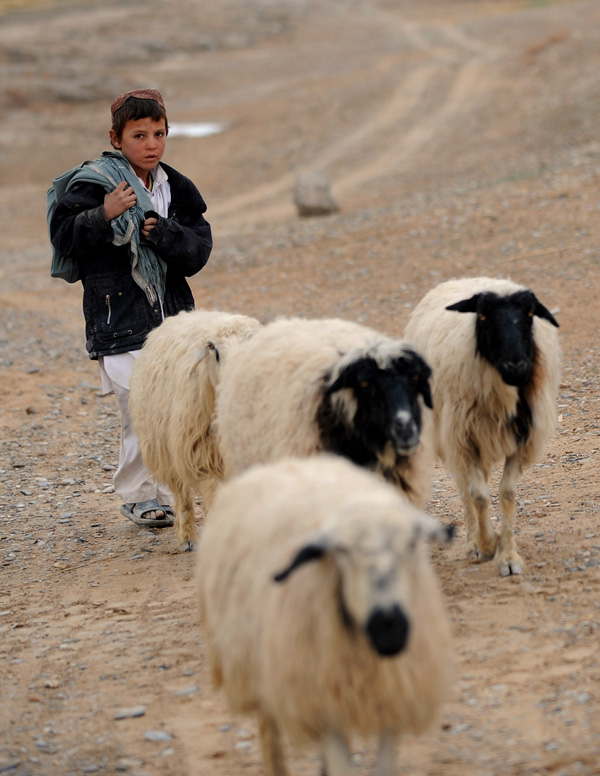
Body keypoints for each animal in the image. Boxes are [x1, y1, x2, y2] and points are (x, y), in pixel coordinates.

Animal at [198, 454, 454, 776]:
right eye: (342, 552)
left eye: (410, 544)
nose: (389, 627)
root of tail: (290, 462)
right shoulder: (318, 701)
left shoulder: (389, 694)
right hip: (255, 665)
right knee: (269, 730)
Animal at [404, 277, 561, 576]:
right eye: (484, 316)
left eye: (530, 314)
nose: (515, 364)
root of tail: (464, 279)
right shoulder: (465, 439)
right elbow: (478, 497)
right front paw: (488, 544)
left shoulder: (522, 438)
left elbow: (507, 494)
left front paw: (508, 555)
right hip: (450, 436)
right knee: (465, 490)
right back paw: (473, 543)